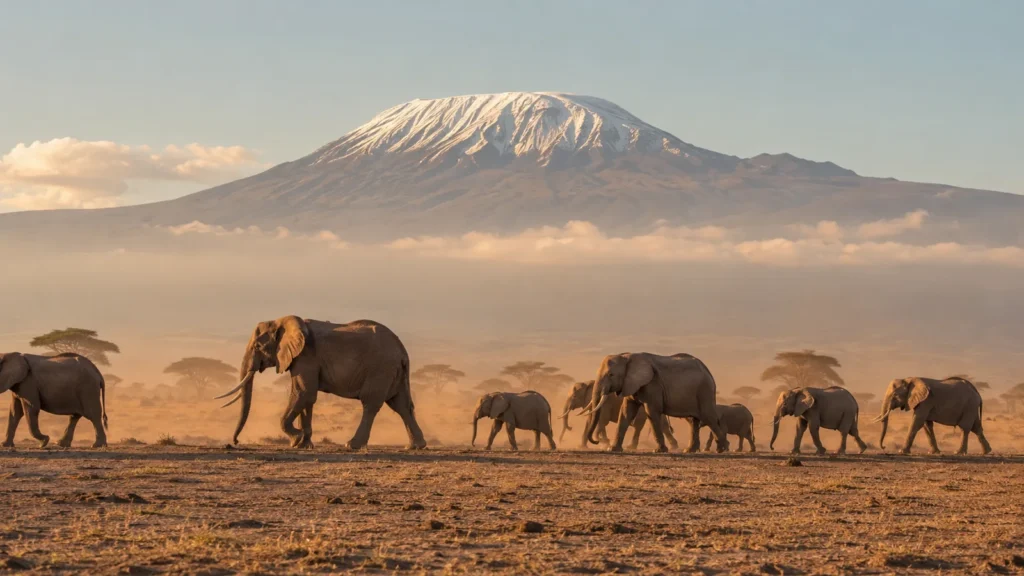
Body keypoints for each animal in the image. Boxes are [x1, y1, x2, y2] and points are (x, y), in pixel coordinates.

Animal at [215, 316, 426, 450]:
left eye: (258, 346)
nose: (236, 442)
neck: (282, 321)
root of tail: (402, 351)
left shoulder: (306, 356)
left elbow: (303, 393)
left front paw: (296, 439)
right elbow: (306, 398)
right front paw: (303, 444)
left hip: (380, 369)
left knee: (371, 404)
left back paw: (352, 445)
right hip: (394, 373)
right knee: (401, 405)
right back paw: (414, 446)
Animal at [583, 352, 727, 453]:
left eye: (611, 375)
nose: (596, 442)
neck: (627, 356)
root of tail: (708, 371)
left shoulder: (653, 385)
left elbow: (651, 412)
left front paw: (659, 451)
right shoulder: (630, 384)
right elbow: (625, 412)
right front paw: (612, 449)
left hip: (704, 391)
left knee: (709, 417)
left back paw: (722, 449)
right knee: (693, 420)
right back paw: (690, 450)